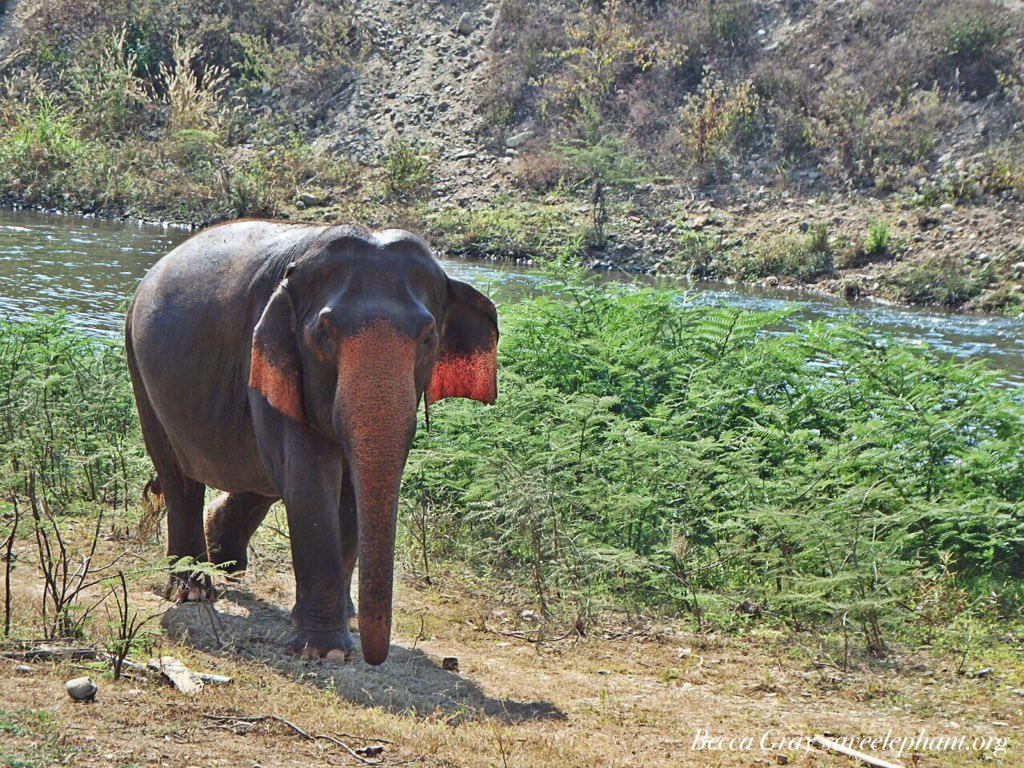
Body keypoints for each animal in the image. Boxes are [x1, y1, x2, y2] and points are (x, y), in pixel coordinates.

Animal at [125, 221, 498, 664]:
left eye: (428, 337)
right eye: (324, 334)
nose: (372, 656)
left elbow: (349, 490)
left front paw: (345, 626)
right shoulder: (269, 355)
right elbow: (309, 477)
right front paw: (326, 651)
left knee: (259, 477)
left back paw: (223, 552)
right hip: (140, 369)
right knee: (180, 478)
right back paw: (193, 591)